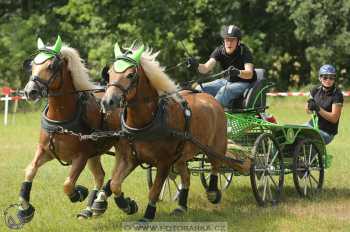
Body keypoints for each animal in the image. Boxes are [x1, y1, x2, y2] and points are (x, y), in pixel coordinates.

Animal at [20, 35, 119, 223]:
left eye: (51, 66)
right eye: (32, 65)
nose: (30, 92)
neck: (61, 120)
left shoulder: (81, 156)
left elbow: (67, 184)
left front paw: (79, 193)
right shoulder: (45, 151)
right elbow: (29, 171)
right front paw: (24, 210)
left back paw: (100, 202)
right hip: (95, 153)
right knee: (100, 175)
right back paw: (89, 209)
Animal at [100, 42, 242, 222]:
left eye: (131, 75)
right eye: (109, 73)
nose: (107, 102)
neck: (148, 121)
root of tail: (211, 99)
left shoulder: (164, 162)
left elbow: (154, 190)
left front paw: (148, 215)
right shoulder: (130, 158)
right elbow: (115, 184)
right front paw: (128, 205)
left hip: (215, 146)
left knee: (216, 166)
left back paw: (213, 192)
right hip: (182, 154)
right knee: (186, 176)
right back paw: (181, 206)